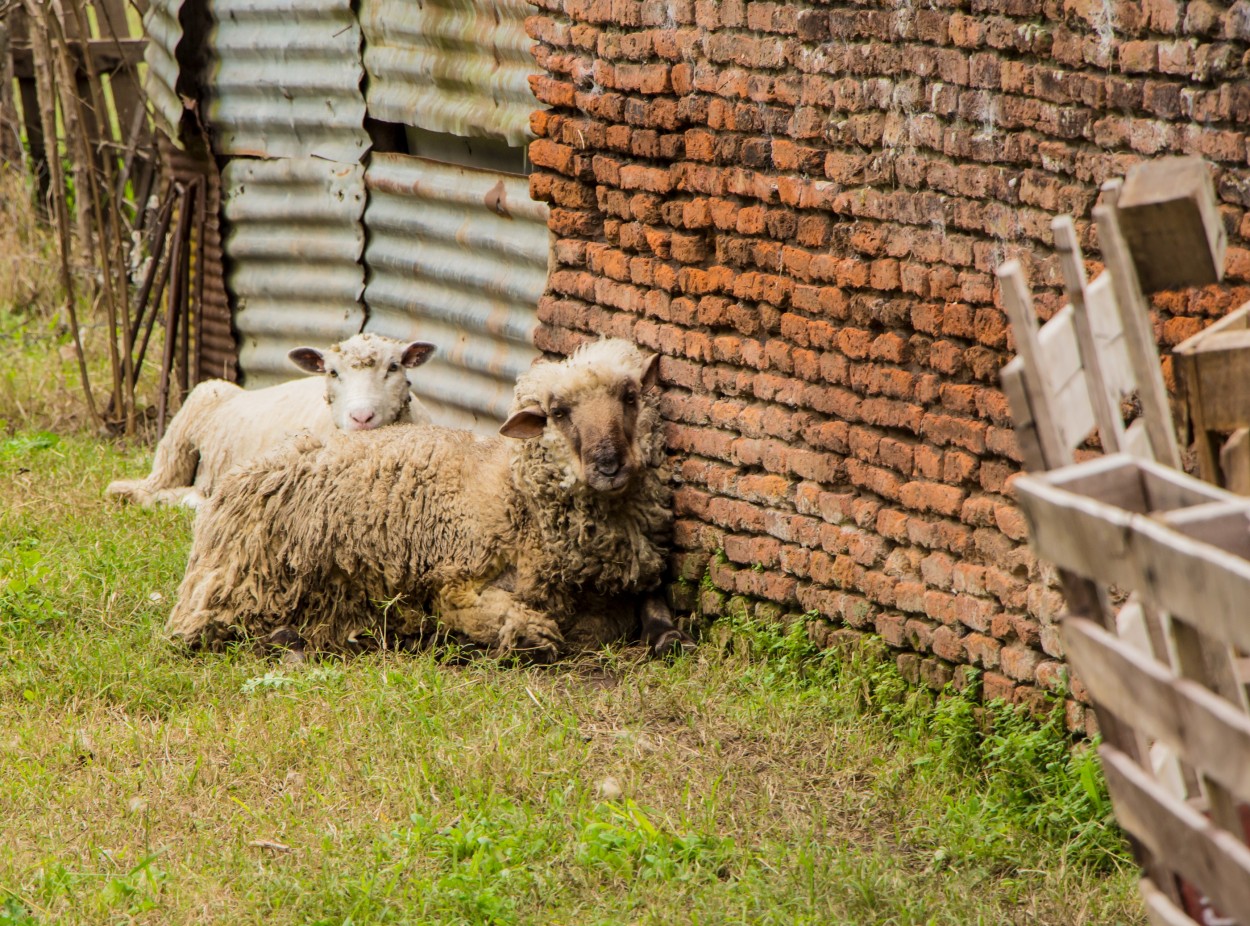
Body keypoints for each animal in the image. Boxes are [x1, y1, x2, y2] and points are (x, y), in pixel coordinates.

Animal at [161, 337, 690, 659]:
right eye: (558, 413)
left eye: (630, 397)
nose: (609, 465)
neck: (516, 495)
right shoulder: (456, 578)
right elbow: (504, 620)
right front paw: (524, 635)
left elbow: (654, 610)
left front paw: (669, 636)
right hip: (243, 586)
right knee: (211, 631)